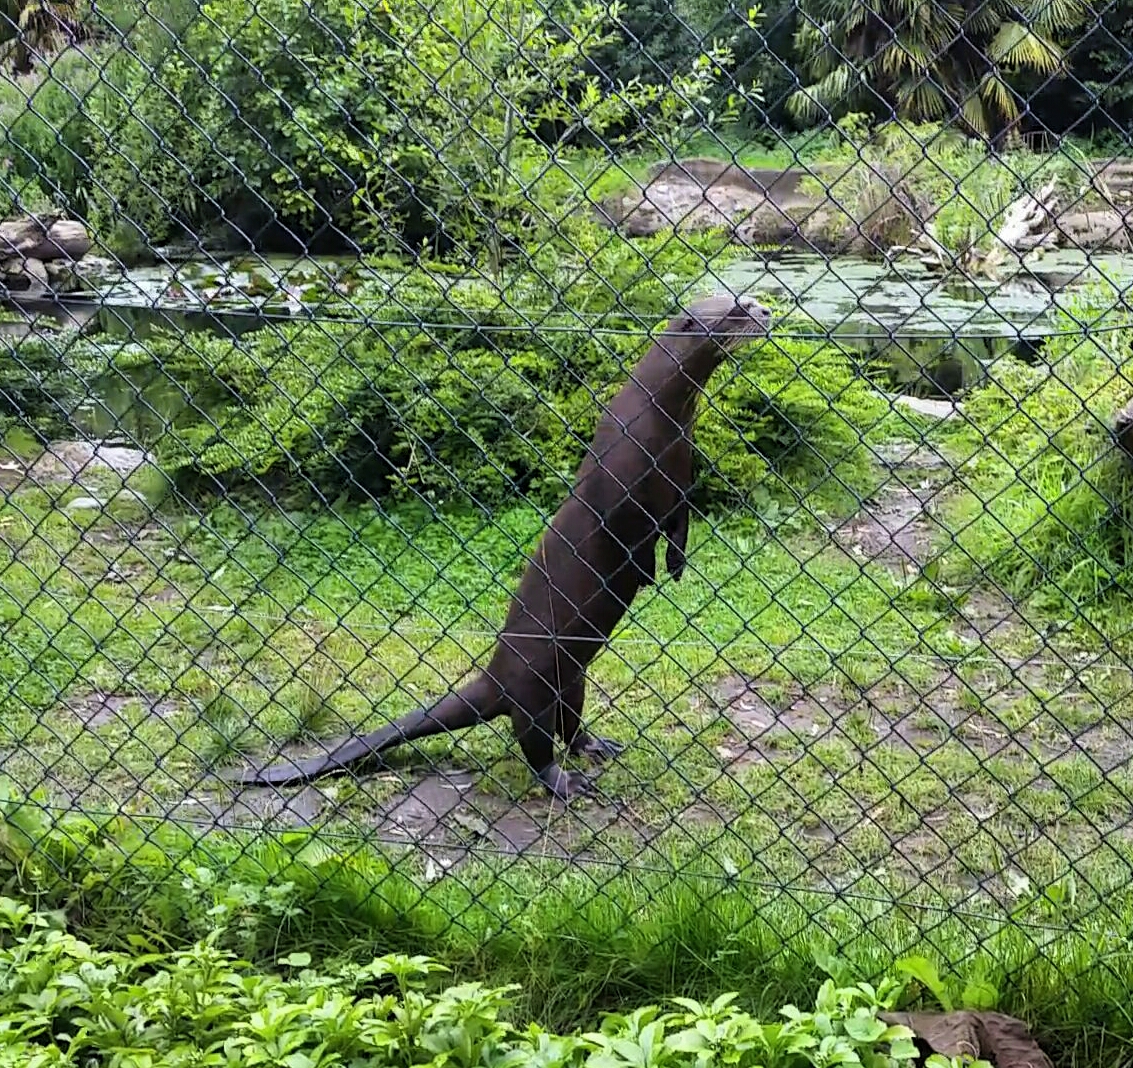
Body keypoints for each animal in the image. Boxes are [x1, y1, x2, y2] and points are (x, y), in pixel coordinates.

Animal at [229, 293, 773, 800]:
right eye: (738, 309)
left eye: (749, 299)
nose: (767, 310)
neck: (661, 426)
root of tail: (494, 679)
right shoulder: (616, 490)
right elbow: (624, 533)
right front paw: (645, 571)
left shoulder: (679, 479)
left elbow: (679, 527)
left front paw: (675, 565)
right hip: (533, 686)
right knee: (535, 745)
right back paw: (565, 782)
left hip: (572, 681)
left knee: (570, 726)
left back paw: (597, 746)